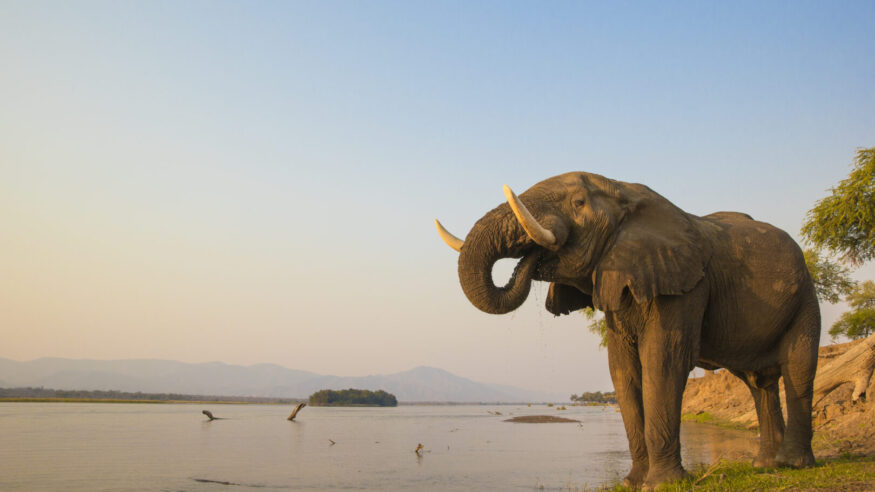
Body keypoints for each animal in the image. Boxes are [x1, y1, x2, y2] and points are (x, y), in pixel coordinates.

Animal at [435, 172, 819, 488]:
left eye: (578, 203)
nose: (531, 259)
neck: (625, 192)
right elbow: (623, 370)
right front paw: (633, 482)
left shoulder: (686, 285)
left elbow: (663, 361)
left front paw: (662, 485)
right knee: (758, 382)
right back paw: (764, 466)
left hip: (805, 297)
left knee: (797, 368)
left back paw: (793, 464)